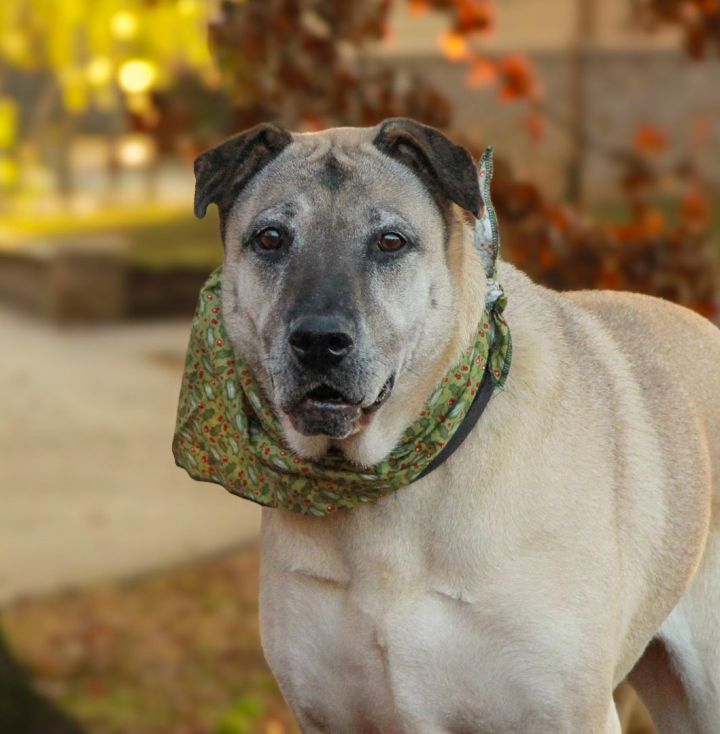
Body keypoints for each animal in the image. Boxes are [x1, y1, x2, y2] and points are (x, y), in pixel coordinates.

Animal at [191, 118, 720, 732]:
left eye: (390, 242)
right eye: (270, 238)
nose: (320, 341)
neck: (392, 483)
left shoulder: (566, 711)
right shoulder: (329, 713)